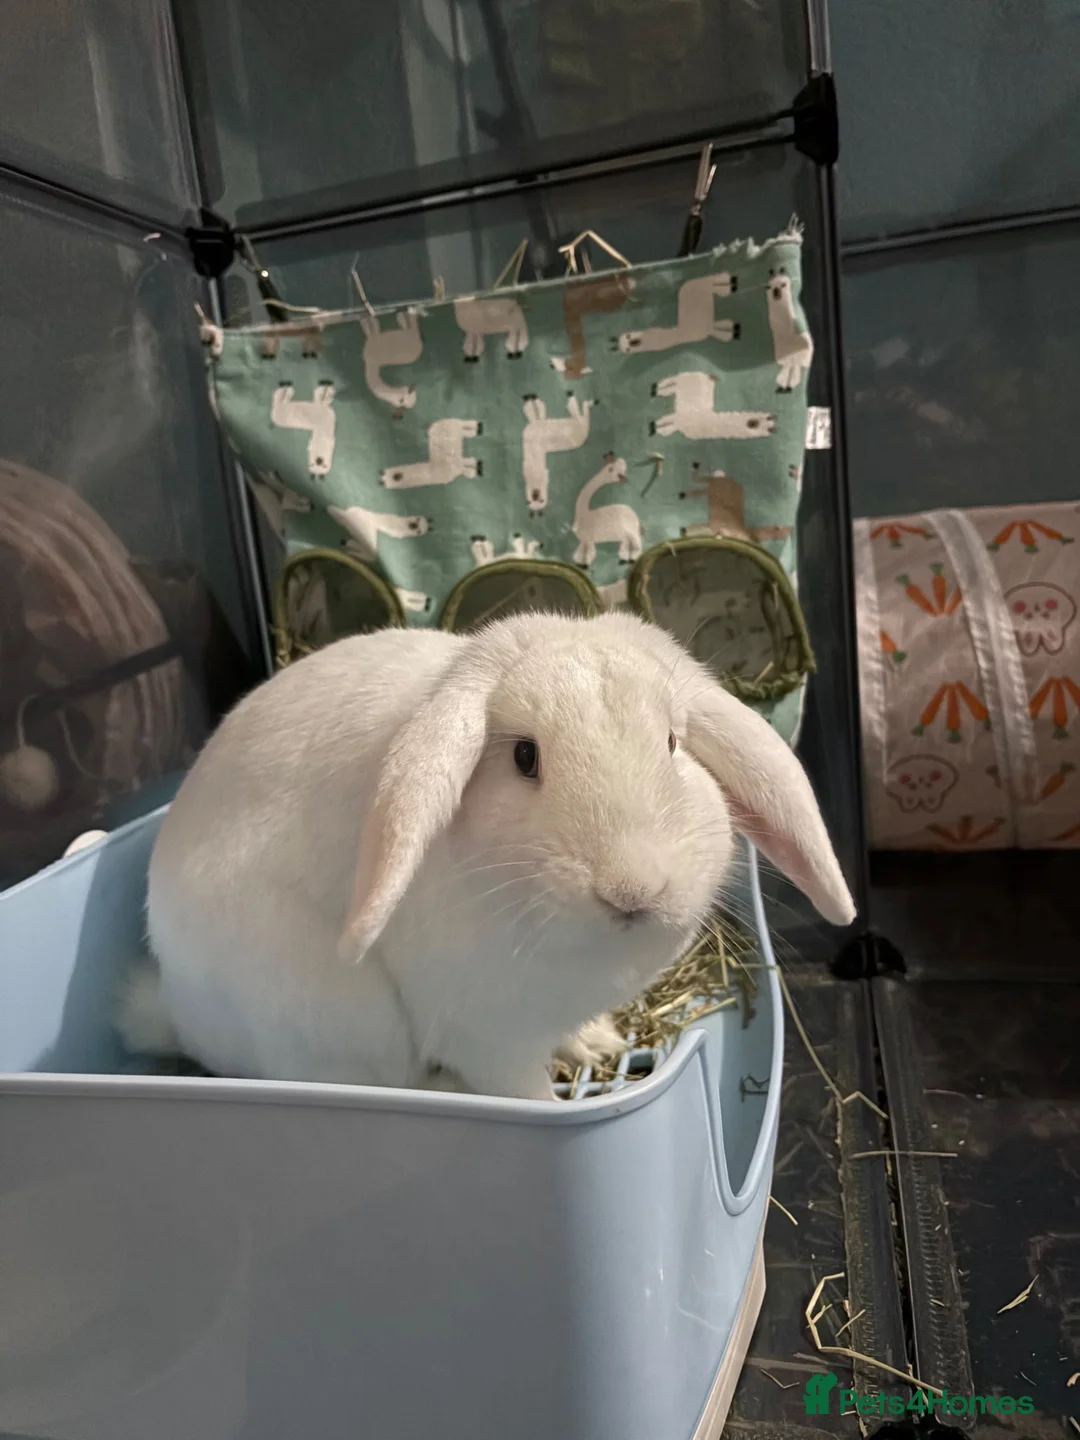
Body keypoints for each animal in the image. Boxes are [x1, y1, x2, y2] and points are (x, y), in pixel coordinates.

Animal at [126, 612, 854, 1100]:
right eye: (525, 757)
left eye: (673, 743)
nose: (632, 890)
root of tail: (175, 1009)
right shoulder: (491, 1043)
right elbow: (526, 1093)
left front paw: (599, 1040)